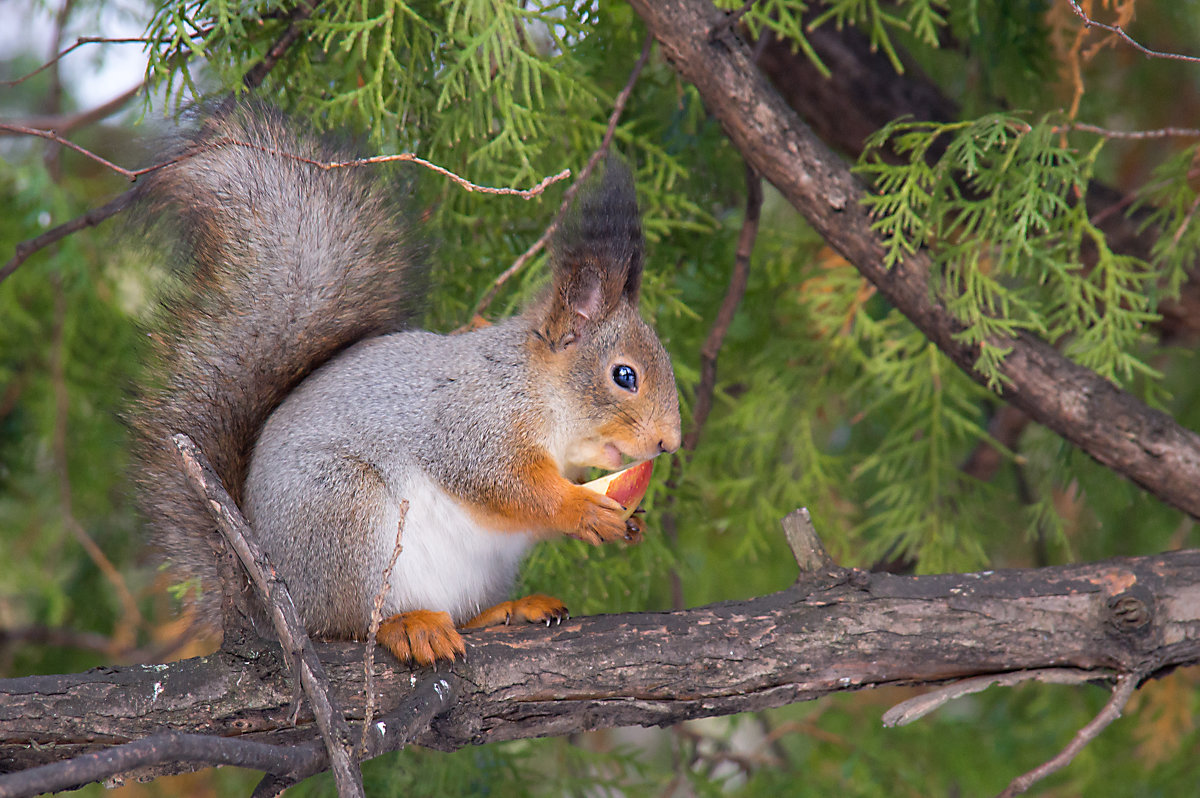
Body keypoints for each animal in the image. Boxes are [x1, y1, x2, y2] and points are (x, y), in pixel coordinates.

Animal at [132, 105, 681, 667]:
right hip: (343, 517)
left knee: (461, 612)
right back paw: (408, 625)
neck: (538, 392)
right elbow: (507, 485)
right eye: (624, 376)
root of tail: (269, 603)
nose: (670, 442)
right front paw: (583, 509)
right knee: (351, 625)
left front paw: (631, 524)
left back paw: (508, 610)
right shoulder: (473, 425)